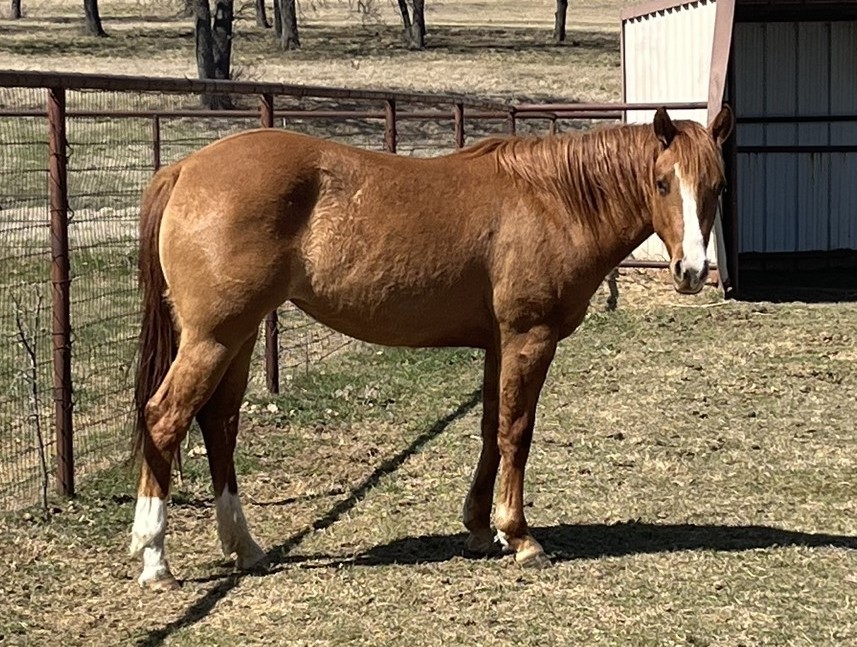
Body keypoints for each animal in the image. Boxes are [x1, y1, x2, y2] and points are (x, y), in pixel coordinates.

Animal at [129, 106, 734, 589]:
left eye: (717, 187)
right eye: (662, 183)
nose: (691, 271)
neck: (551, 200)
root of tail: (186, 169)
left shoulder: (498, 345)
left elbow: (491, 428)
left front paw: (479, 528)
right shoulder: (528, 339)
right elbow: (516, 433)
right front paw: (520, 537)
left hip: (241, 335)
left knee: (218, 423)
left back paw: (244, 548)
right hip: (214, 337)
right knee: (164, 418)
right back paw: (154, 559)